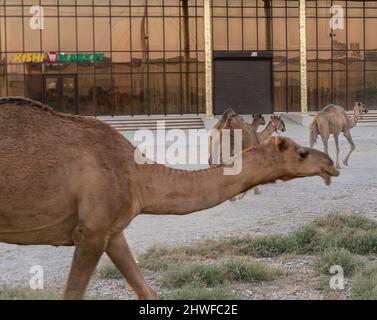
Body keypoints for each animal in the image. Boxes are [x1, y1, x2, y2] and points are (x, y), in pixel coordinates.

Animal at [0, 97, 338, 300]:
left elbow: (147, 290)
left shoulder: (111, 231)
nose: (330, 164)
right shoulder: (91, 233)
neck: (136, 174)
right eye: (302, 153)